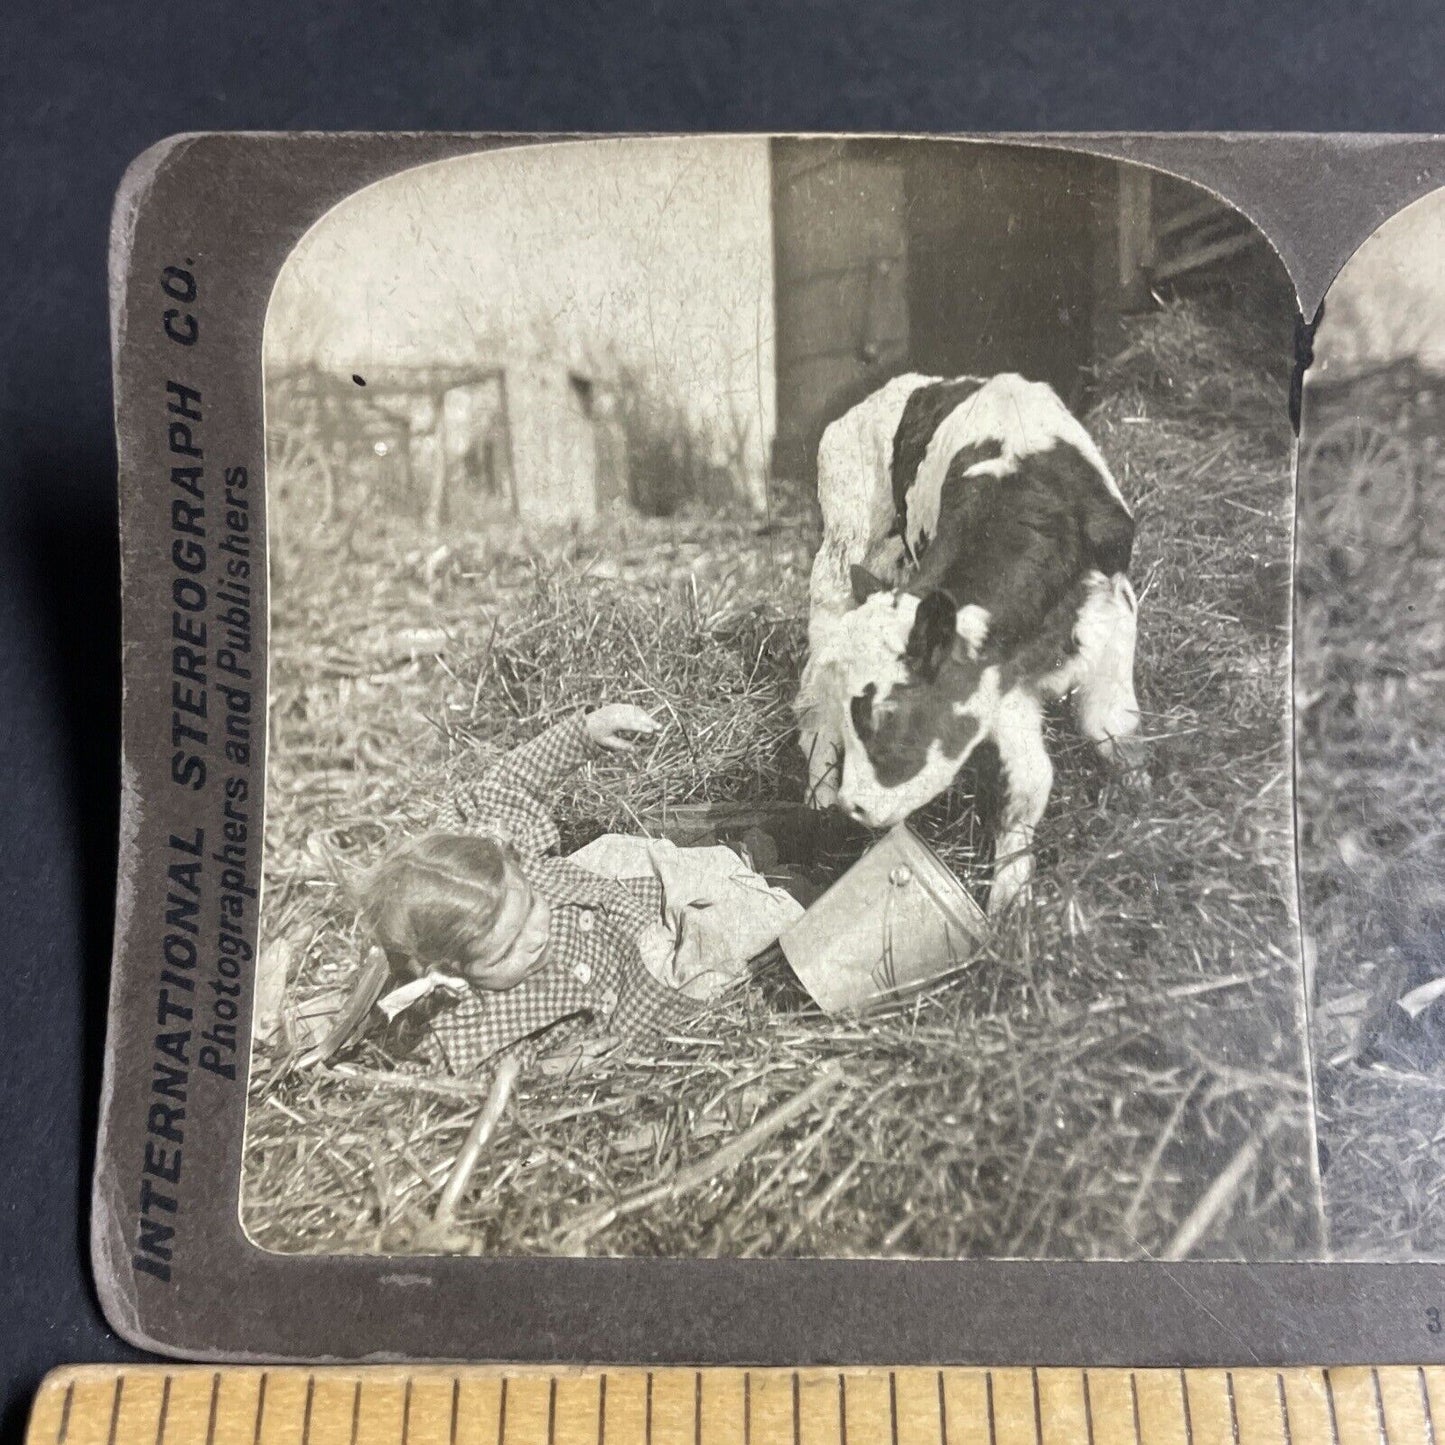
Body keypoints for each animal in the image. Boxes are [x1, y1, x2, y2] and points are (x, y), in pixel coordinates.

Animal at [797, 372, 1144, 913]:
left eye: (887, 715)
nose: (855, 806)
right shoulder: (997, 689)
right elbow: (1029, 782)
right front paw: (1010, 905)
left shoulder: (1112, 622)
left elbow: (1110, 730)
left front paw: (1144, 809)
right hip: (839, 557)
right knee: (813, 694)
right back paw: (816, 798)